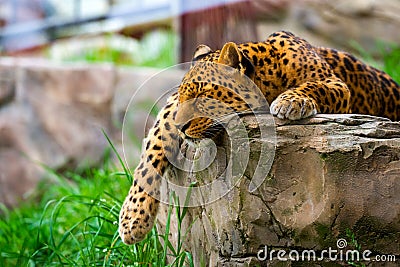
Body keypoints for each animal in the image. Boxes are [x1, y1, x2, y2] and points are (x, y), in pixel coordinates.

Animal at [119, 30, 400, 245]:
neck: (270, 77)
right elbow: (155, 140)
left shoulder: (335, 84)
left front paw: (290, 101)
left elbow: (314, 86)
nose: (180, 127)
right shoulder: (171, 107)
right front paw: (132, 219)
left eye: (204, 94)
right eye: (184, 96)